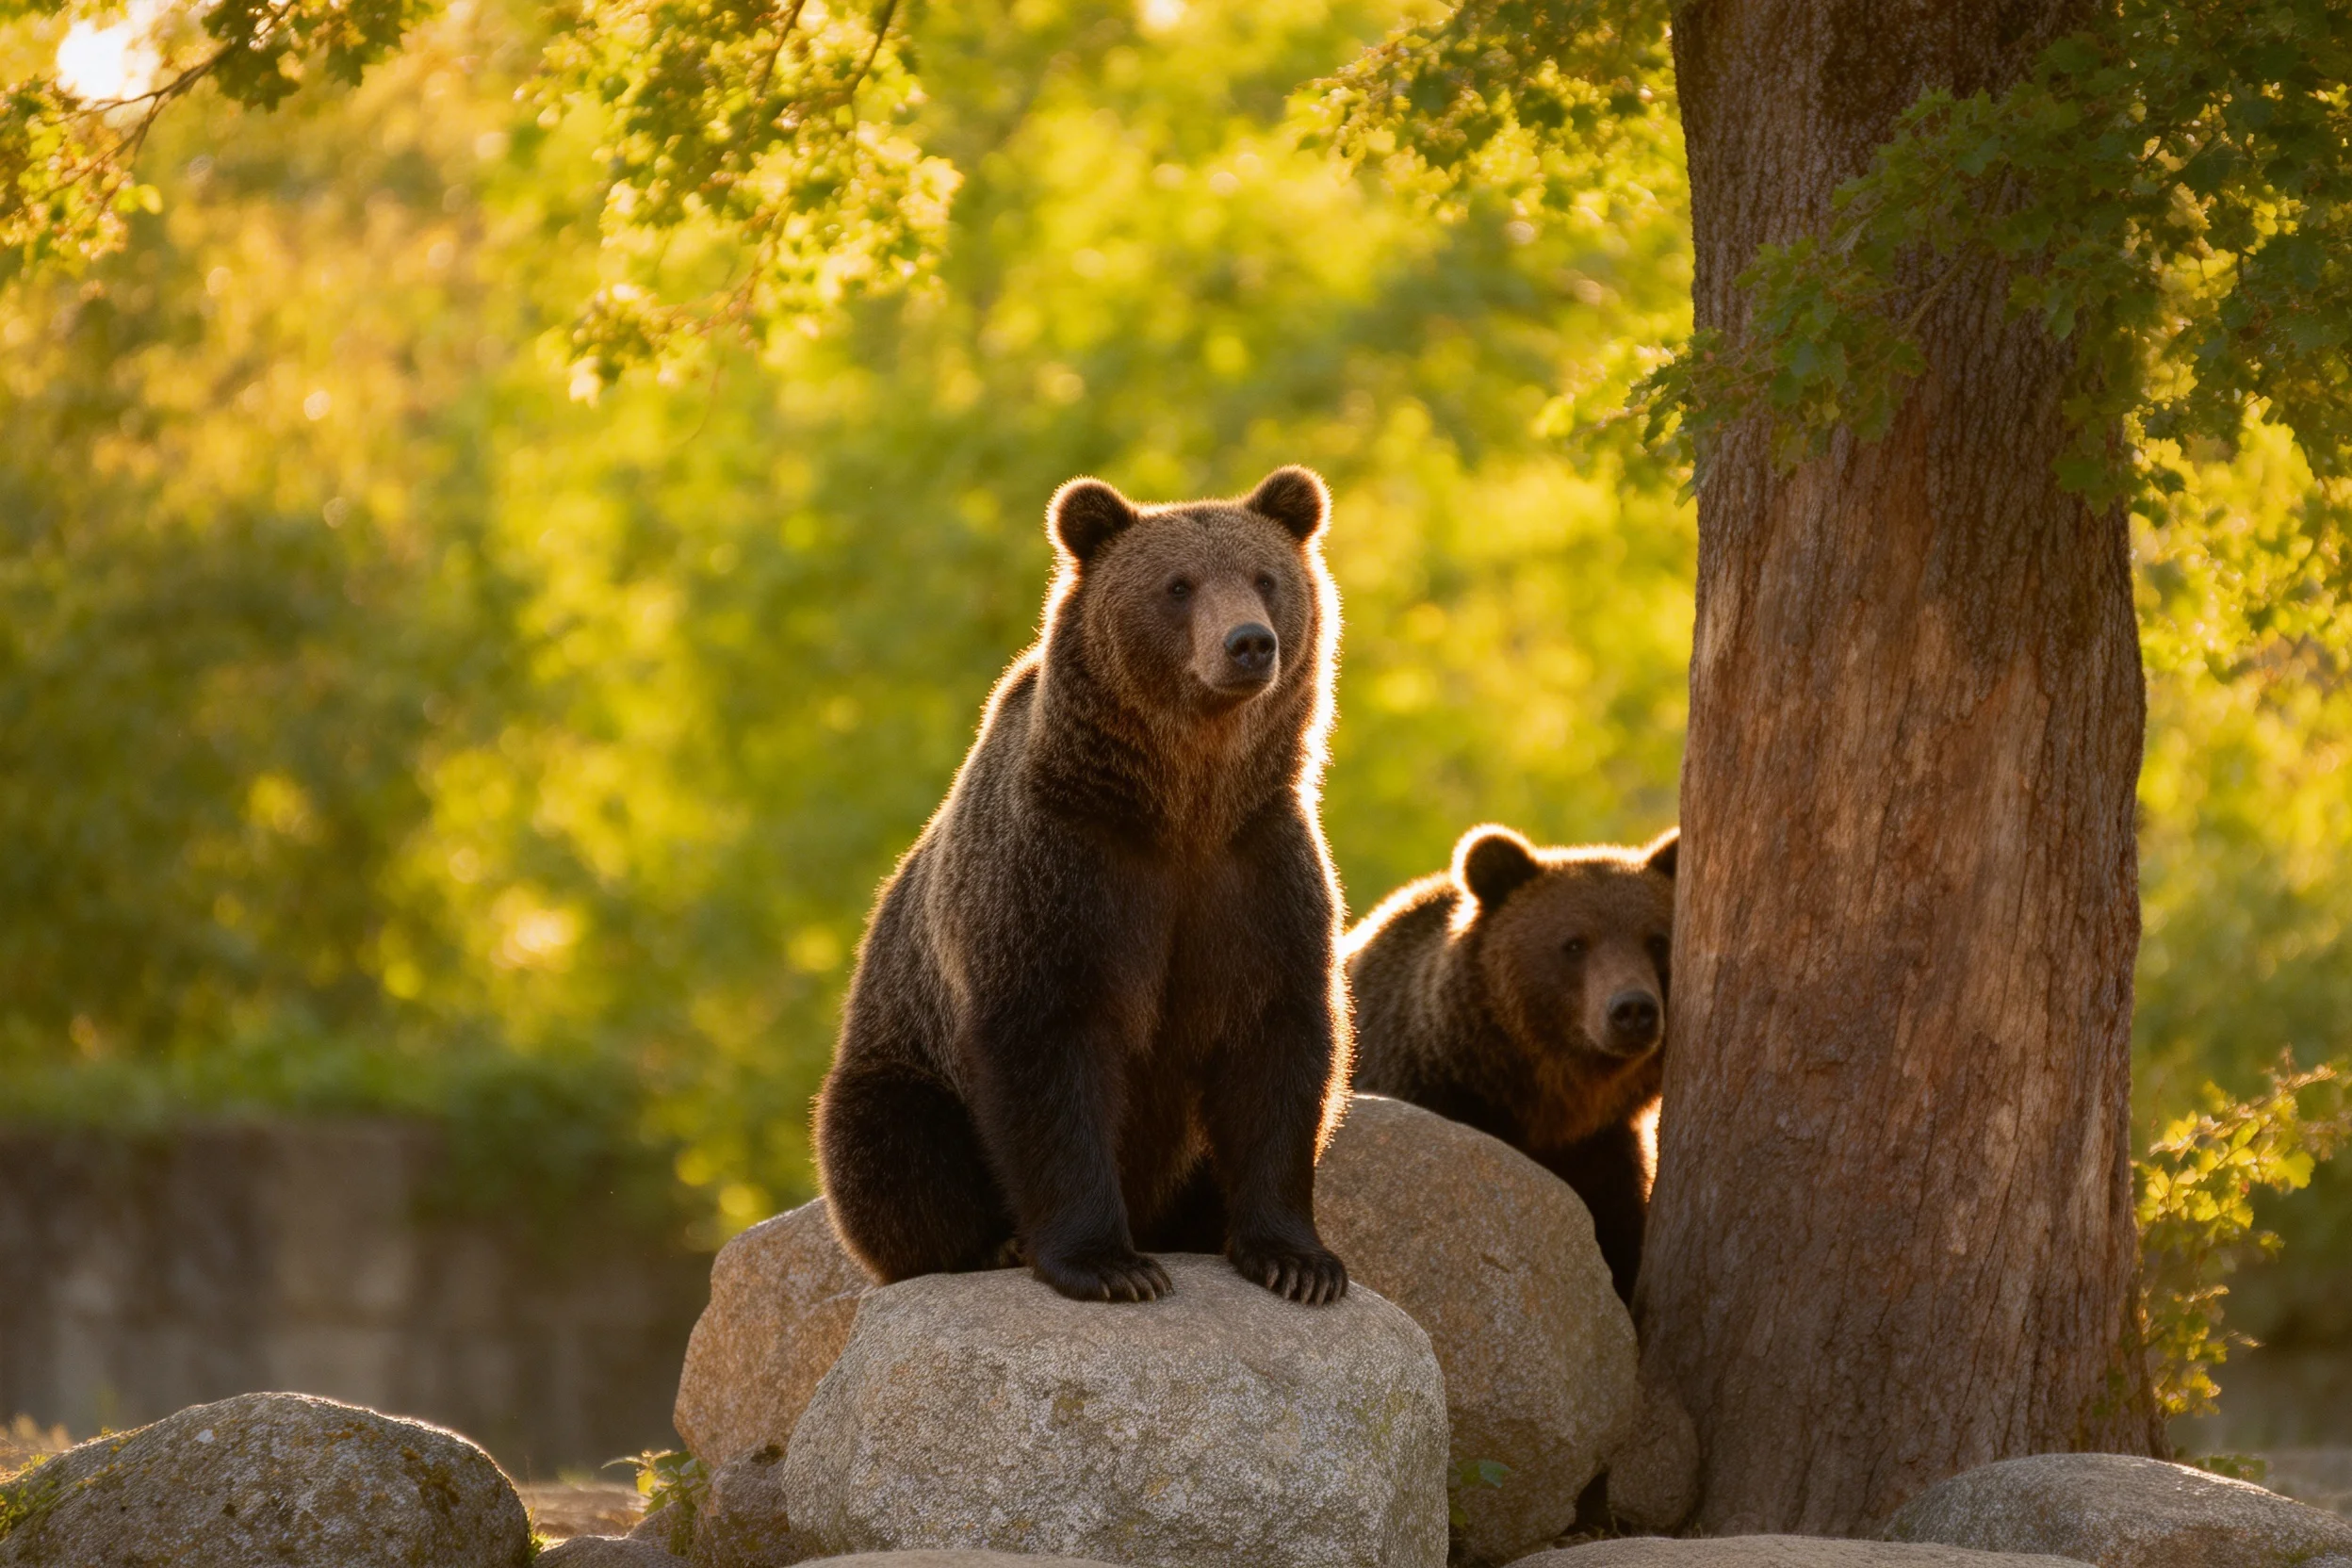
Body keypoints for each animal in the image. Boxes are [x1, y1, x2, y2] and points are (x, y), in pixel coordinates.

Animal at [813, 466, 1353, 1306]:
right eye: (1178, 585)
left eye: (1265, 578)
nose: (1249, 643)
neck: (1182, 805)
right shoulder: (1060, 873)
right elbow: (1050, 1053)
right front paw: (1109, 1264)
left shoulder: (1258, 870)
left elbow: (1278, 1049)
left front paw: (1297, 1261)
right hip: (899, 1059)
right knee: (888, 1143)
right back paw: (990, 1242)